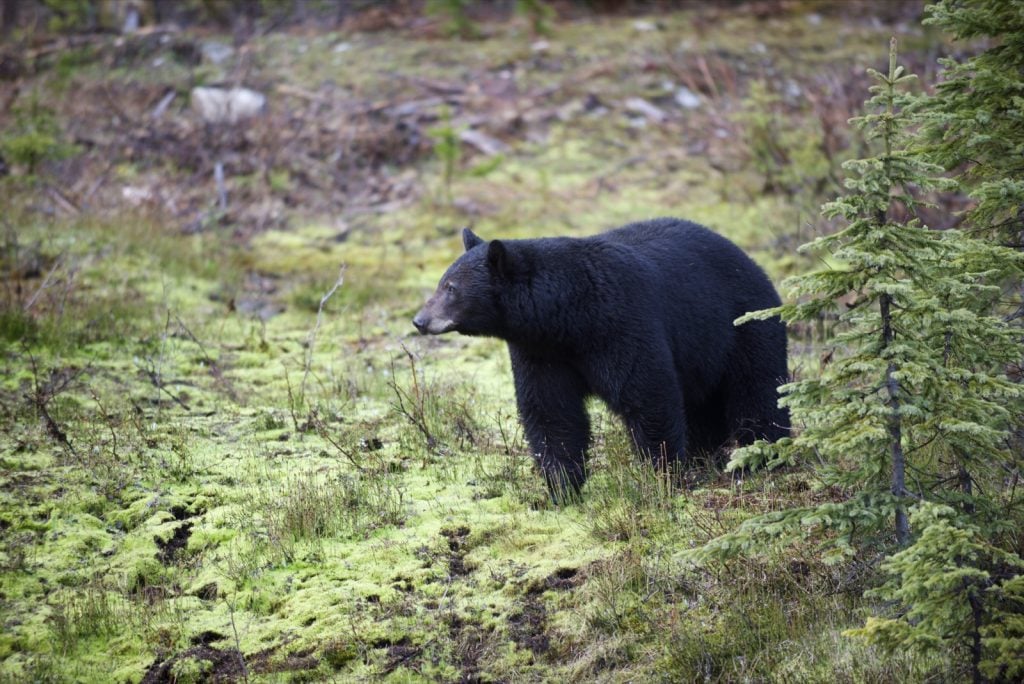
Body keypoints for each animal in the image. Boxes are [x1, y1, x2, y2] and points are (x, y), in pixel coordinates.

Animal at [411, 218, 786, 497]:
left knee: (758, 392)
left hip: (743, 326)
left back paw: (761, 455)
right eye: (442, 282)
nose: (419, 320)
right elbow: (550, 411)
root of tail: (751, 261)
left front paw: (663, 476)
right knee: (703, 408)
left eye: (450, 288)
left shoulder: (621, 325)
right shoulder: (540, 351)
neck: (567, 316)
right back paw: (705, 456)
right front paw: (561, 487)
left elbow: (648, 395)